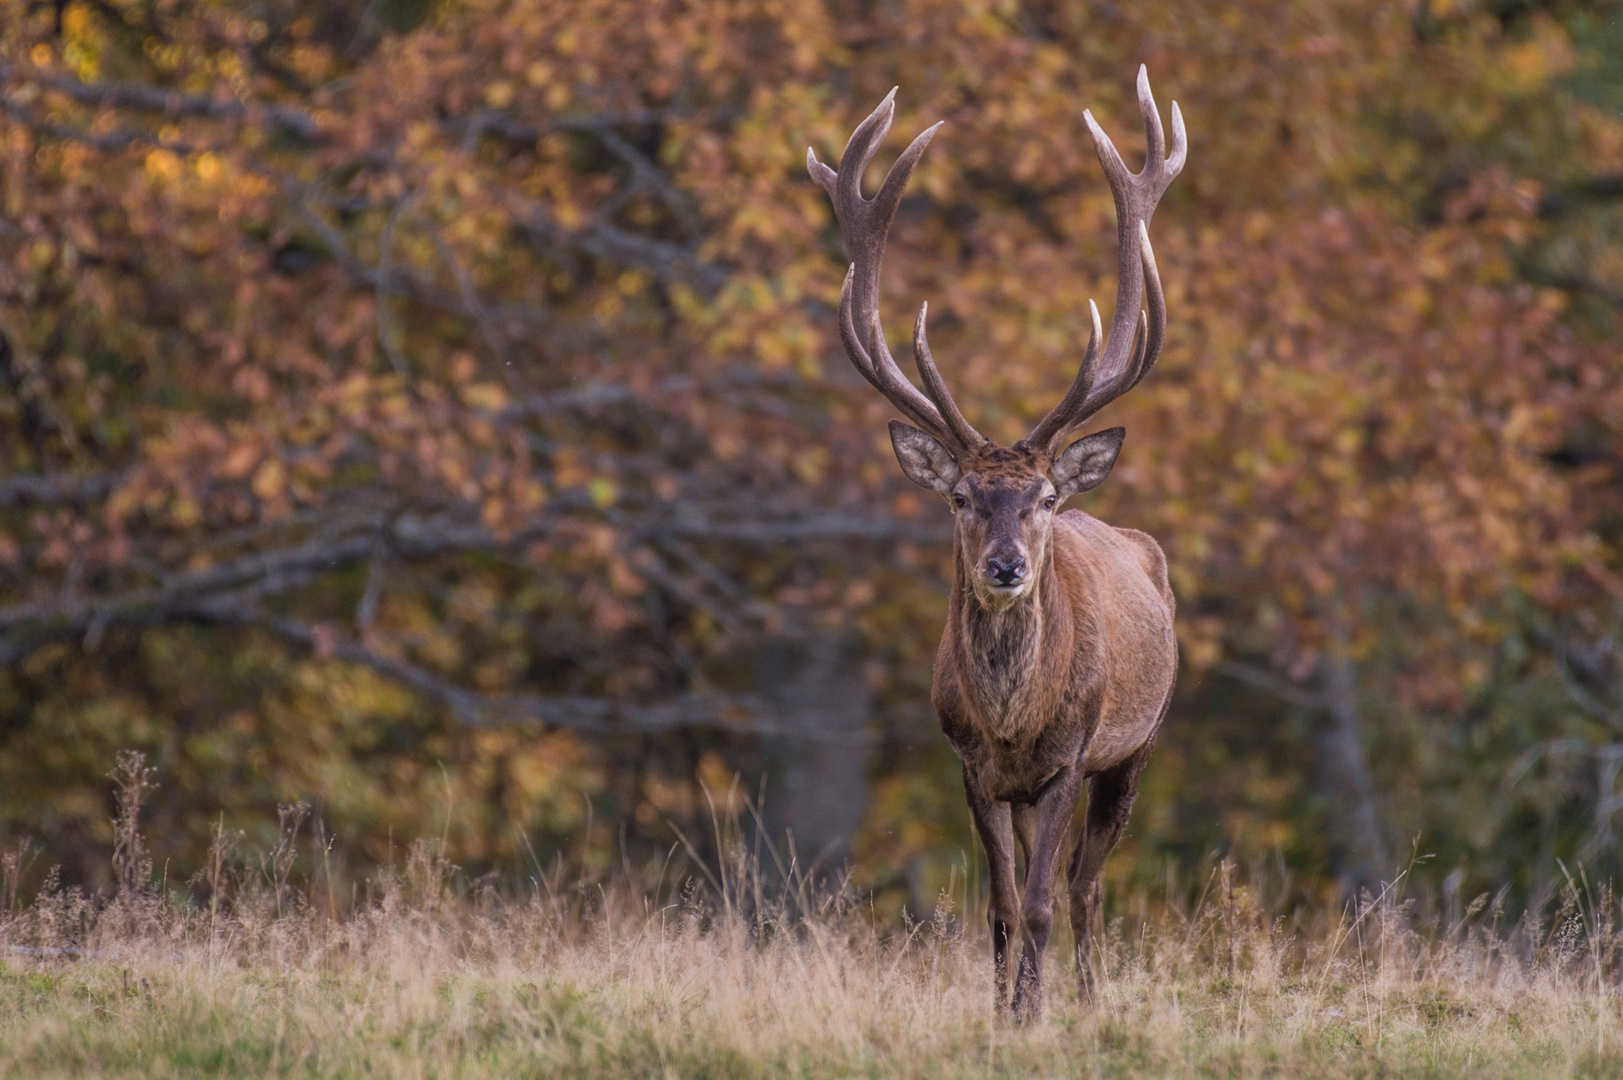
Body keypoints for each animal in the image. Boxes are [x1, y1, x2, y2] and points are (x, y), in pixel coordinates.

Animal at [808, 67, 1181, 1019]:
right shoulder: (972, 767)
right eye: (961, 497)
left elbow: (1045, 901)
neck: (1014, 721)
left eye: (1043, 496)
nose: (1005, 566)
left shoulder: (1069, 757)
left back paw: (1090, 998)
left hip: (1137, 747)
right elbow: (1003, 908)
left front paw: (1036, 1015)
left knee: (1088, 885)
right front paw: (1002, 1016)